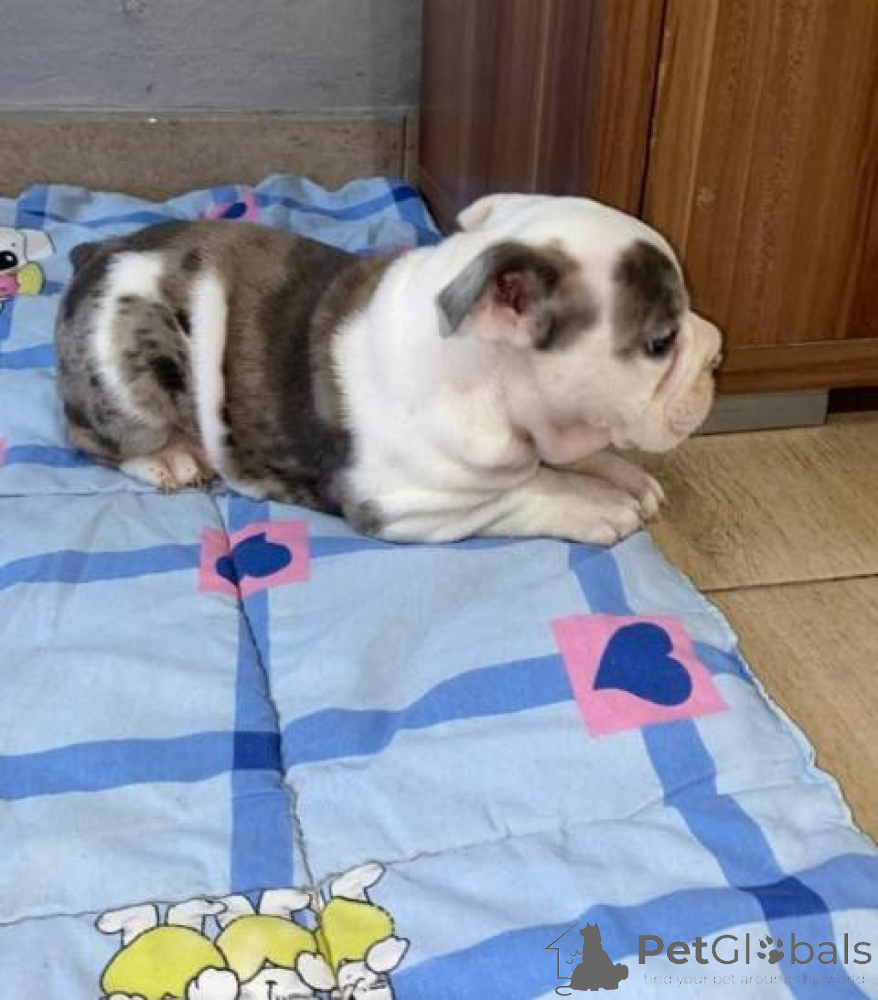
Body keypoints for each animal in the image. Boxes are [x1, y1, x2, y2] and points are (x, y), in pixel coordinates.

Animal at [55, 193, 721, 545]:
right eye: (661, 341)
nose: (717, 352)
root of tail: (96, 253)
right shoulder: (407, 503)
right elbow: (521, 492)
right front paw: (593, 502)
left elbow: (567, 458)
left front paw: (621, 474)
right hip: (131, 367)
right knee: (94, 435)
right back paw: (169, 457)